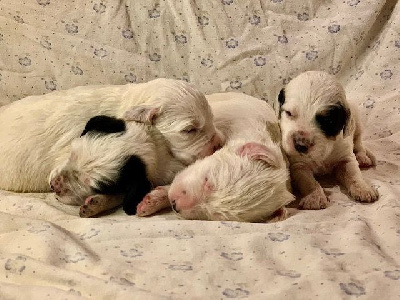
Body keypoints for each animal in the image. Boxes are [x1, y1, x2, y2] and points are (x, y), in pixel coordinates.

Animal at [278, 71, 378, 210]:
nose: (300, 145)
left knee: (358, 143)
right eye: (288, 113)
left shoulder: (345, 156)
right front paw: (315, 198)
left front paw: (363, 189)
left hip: (357, 123)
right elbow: (308, 181)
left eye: (328, 121)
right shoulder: (298, 165)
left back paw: (362, 158)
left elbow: (353, 173)